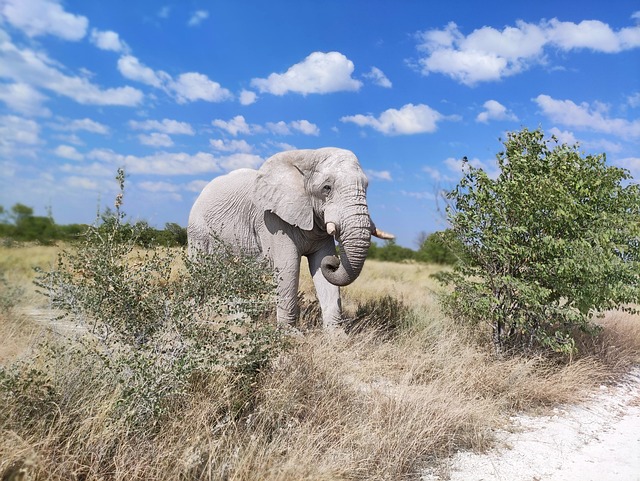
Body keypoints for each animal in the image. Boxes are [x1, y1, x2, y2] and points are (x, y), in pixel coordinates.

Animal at [188, 147, 392, 326]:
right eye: (327, 188)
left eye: (366, 187)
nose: (334, 263)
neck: (308, 156)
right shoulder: (271, 218)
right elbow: (288, 266)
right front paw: (290, 334)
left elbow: (320, 267)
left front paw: (337, 337)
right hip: (197, 228)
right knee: (200, 265)